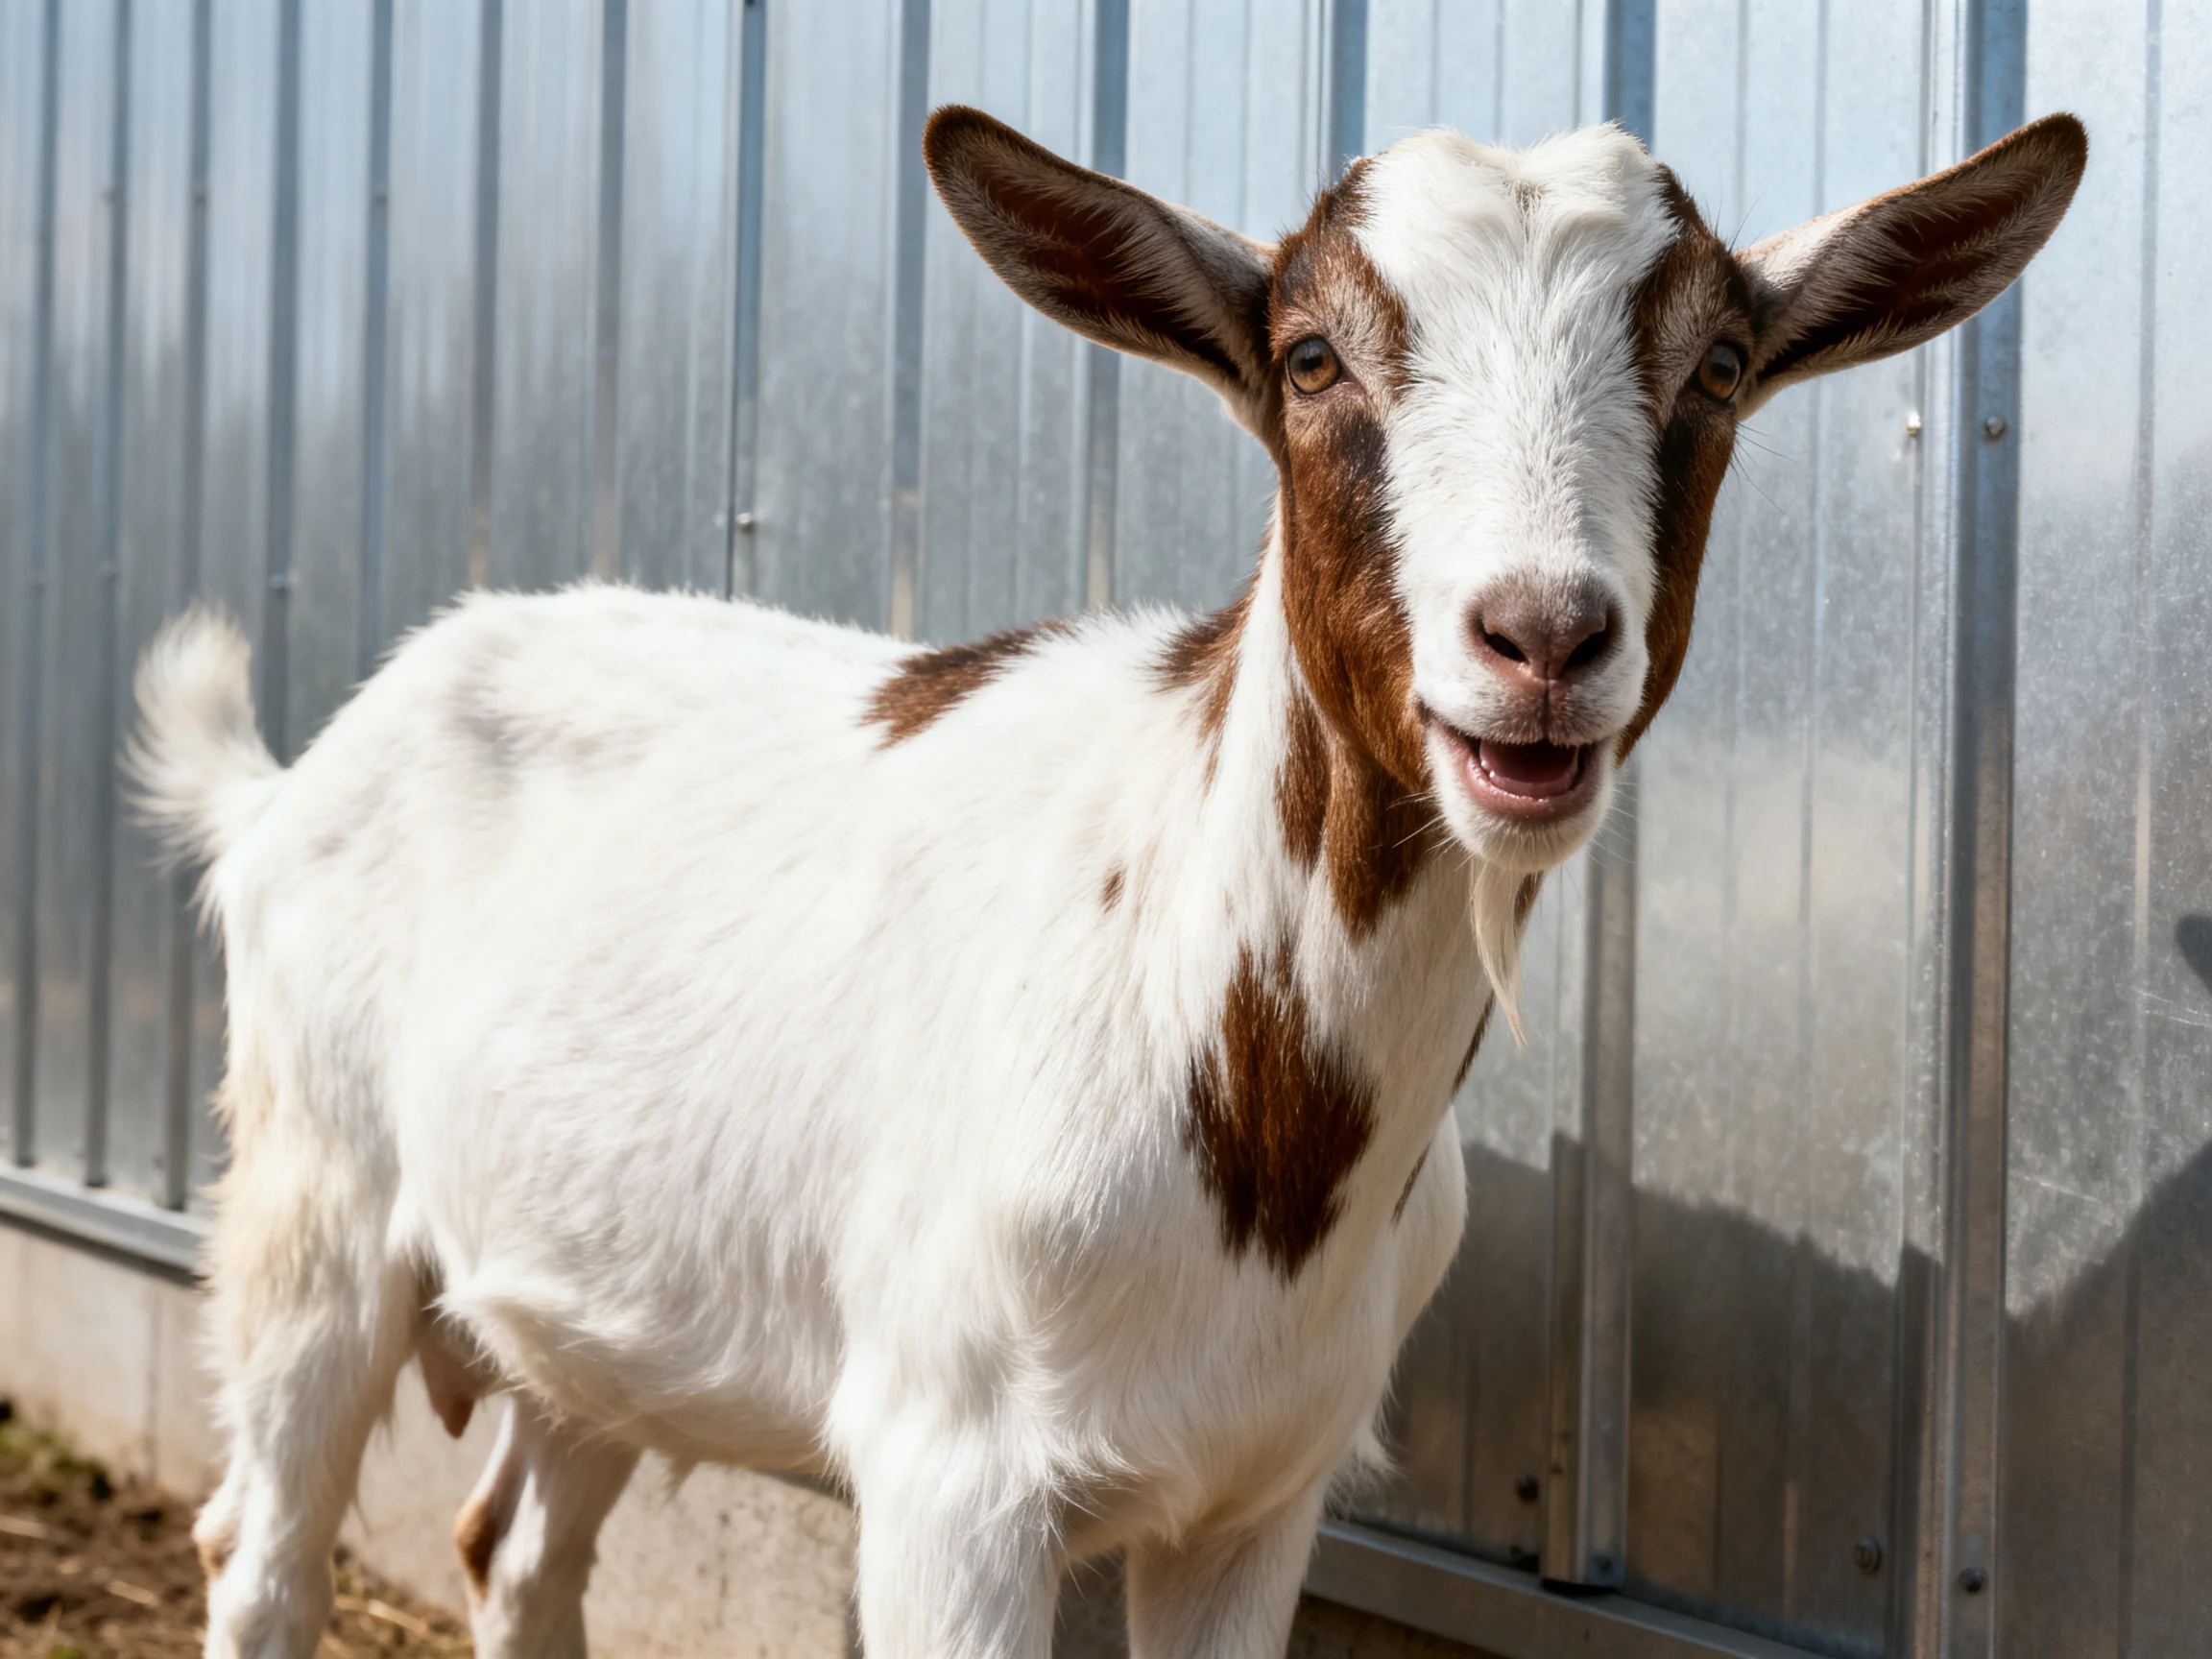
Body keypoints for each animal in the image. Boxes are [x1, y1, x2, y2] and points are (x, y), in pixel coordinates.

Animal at [134, 107, 2084, 1659]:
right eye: (1311, 358)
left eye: (1719, 368)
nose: (1539, 638)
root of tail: (301, 771)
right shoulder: (948, 1475)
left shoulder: (1262, 1491)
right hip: (313, 1190)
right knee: (263, 1543)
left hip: (592, 1296)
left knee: (514, 1548)